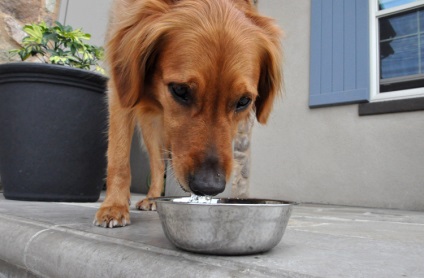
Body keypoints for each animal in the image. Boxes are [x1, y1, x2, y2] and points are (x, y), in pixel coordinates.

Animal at [94, 0, 284, 227]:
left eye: (243, 101)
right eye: (180, 90)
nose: (209, 186)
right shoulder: (121, 86)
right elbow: (119, 155)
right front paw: (114, 206)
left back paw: (153, 198)